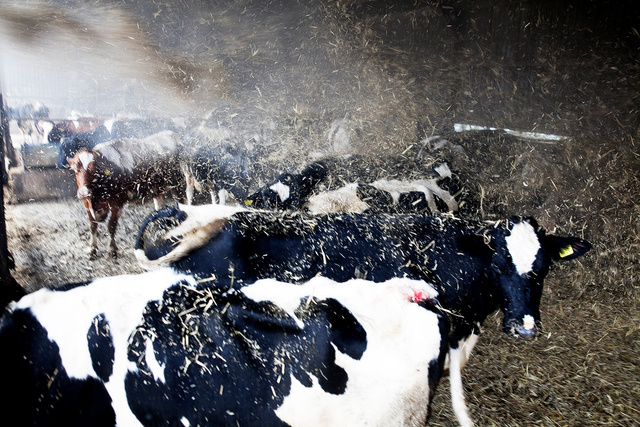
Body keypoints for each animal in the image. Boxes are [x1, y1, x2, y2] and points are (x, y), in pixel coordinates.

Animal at [67, 130, 185, 259]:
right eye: (75, 169)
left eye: (94, 170)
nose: (84, 192)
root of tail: (170, 133)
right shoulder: (87, 204)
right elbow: (92, 226)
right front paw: (92, 249)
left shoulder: (117, 203)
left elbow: (111, 226)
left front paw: (112, 250)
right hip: (158, 189)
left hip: (178, 183)